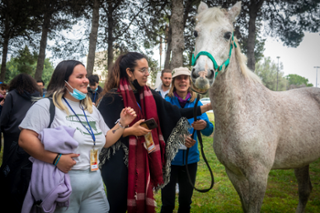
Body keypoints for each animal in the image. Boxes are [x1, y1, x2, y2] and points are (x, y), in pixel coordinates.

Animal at [191, 1, 320, 213]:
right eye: (195, 32)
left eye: (227, 34)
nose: (201, 75)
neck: (244, 113)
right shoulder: (234, 173)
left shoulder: (259, 176)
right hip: (302, 159)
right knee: (305, 191)